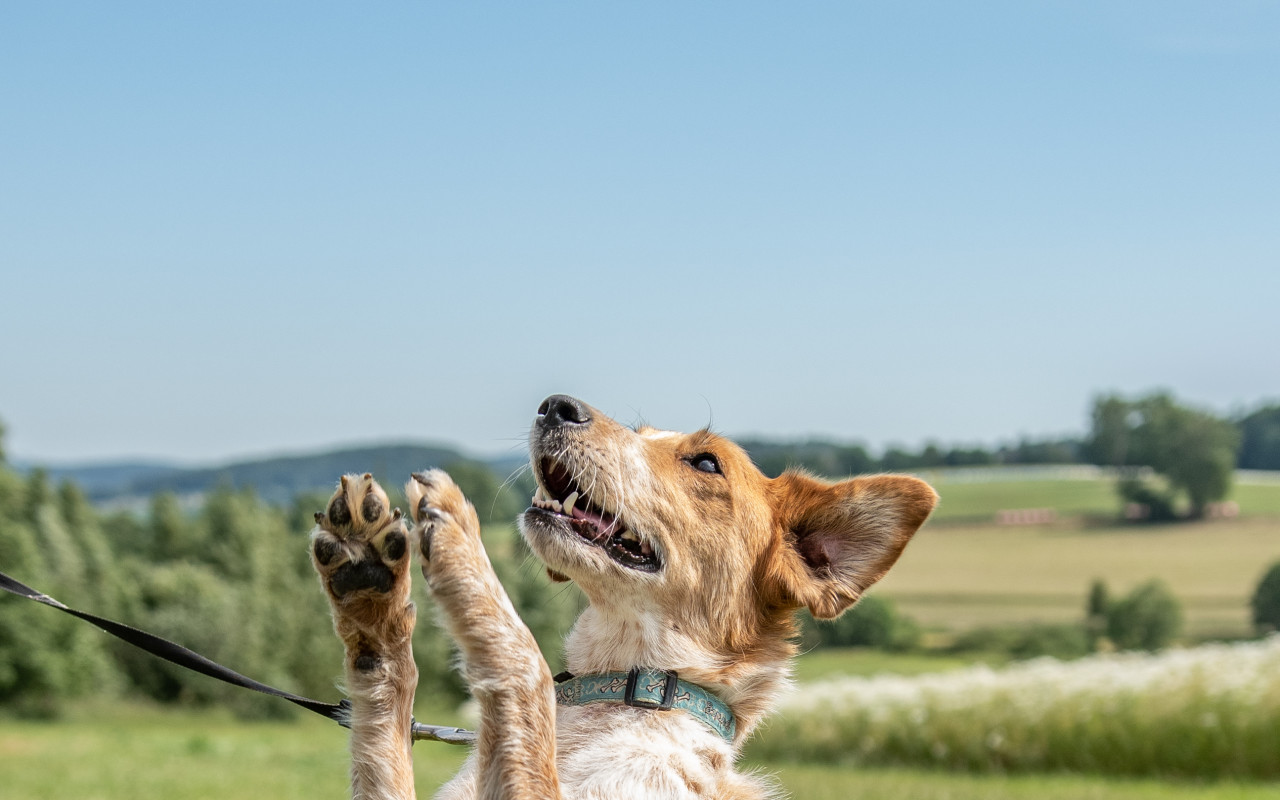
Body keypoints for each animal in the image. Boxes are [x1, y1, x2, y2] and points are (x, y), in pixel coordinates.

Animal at [305, 394, 936, 798]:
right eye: (640, 433)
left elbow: (527, 661)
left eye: (706, 461)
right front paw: (370, 596)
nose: (555, 404)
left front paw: (463, 537)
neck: (625, 692)